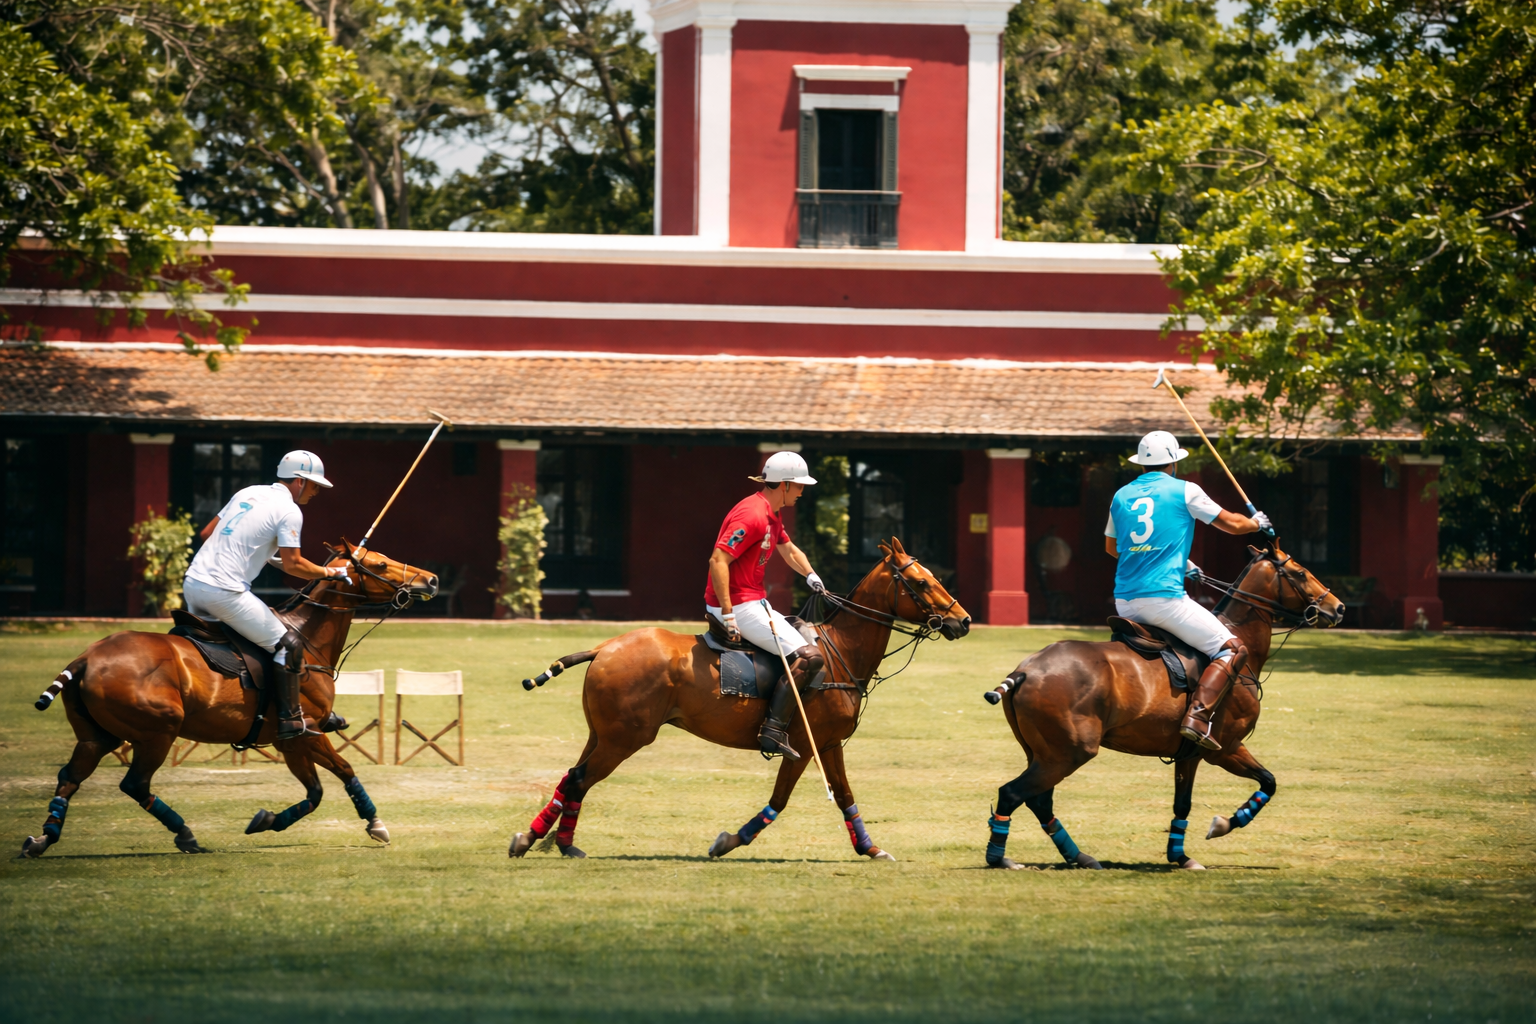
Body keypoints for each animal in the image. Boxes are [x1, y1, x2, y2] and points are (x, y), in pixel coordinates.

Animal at [19, 542, 437, 858]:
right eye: (379, 564)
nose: (430, 579)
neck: (307, 642)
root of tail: (87, 657)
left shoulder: (288, 742)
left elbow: (315, 792)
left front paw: (267, 820)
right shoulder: (306, 732)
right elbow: (346, 770)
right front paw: (376, 825)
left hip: (98, 736)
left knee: (70, 778)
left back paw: (42, 839)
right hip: (158, 731)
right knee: (135, 784)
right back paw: (185, 834)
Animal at [510, 538, 970, 861]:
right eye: (922, 582)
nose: (962, 621)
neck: (842, 652)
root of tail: (603, 648)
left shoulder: (829, 743)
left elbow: (845, 796)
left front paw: (871, 849)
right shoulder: (802, 747)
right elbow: (779, 800)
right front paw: (729, 841)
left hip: (603, 733)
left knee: (572, 776)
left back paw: (545, 839)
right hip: (626, 738)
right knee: (579, 778)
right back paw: (548, 841)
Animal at [983, 542, 1344, 870]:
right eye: (1300, 572)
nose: (1338, 608)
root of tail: (1025, 670)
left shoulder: (1190, 754)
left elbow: (1183, 804)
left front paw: (1181, 855)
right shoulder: (1223, 748)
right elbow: (1268, 781)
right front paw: (1225, 824)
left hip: (1043, 753)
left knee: (1039, 801)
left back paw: (1079, 856)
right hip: (1068, 752)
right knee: (1013, 793)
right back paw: (1000, 858)